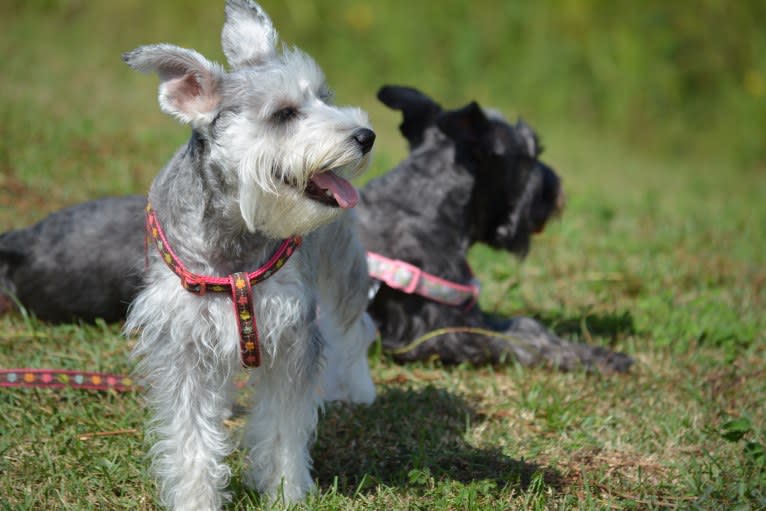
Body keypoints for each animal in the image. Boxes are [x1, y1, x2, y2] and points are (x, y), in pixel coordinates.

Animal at [122, 1, 378, 508]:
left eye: (324, 97)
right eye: (284, 113)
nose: (365, 135)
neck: (234, 237)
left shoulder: (292, 336)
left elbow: (283, 429)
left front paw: (286, 493)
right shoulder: (182, 344)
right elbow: (191, 437)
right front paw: (196, 498)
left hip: (343, 266)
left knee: (353, 327)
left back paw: (357, 388)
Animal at [356, 86, 632, 374]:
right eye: (531, 153)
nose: (556, 186)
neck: (426, 204)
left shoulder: (470, 317)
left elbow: (528, 325)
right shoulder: (439, 335)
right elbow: (522, 342)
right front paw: (598, 358)